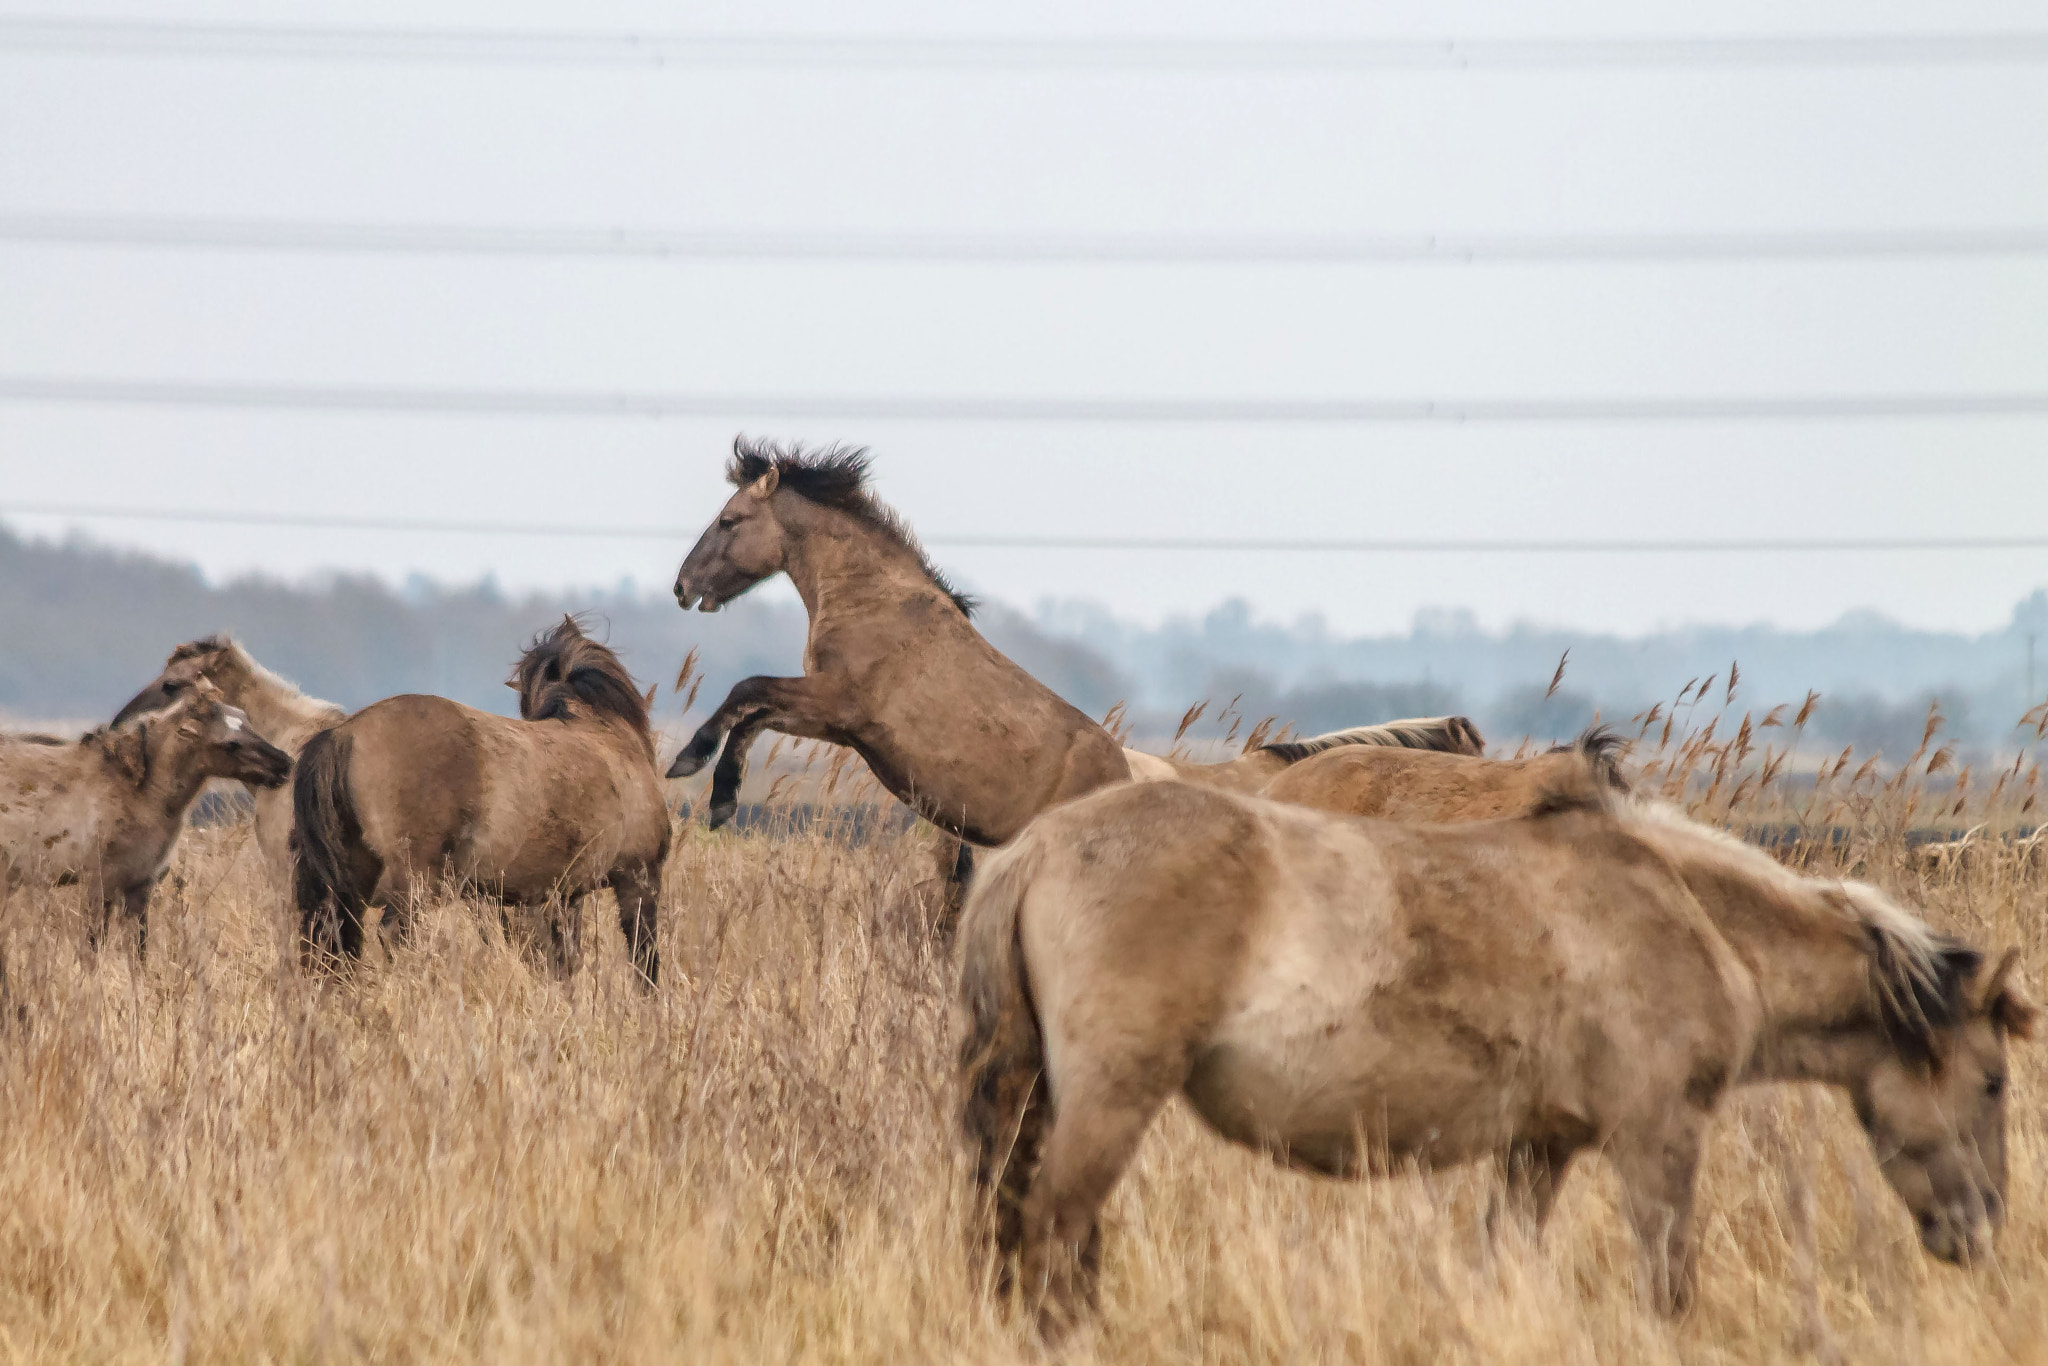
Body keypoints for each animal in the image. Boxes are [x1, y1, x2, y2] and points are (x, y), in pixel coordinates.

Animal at [1, 683, 291, 954]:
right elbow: (92, 949)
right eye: (230, 744)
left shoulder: (140, 888)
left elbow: (138, 953)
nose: (284, 764)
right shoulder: (99, 884)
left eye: (247, 722)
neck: (137, 792)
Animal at [291, 618, 669, 985]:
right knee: (393, 935)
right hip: (413, 882)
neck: (609, 735)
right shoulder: (639, 879)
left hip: (344, 893)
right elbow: (645, 959)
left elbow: (564, 962)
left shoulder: (565, 894)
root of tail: (343, 735)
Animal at [665, 439, 1483, 848]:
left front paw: (694, 769)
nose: (680, 587)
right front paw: (718, 794)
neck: (879, 603)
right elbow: (754, 713)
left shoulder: (839, 705)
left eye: (732, 520)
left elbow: (743, 694)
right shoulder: (833, 720)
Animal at [957, 776, 2034, 1335]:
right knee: (1051, 1233)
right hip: (1108, 1102)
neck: (1689, 913)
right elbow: (1667, 1287)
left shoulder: (1538, 1148)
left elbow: (1498, 1264)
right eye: (1991, 1082)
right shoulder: (1656, 1137)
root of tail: (1039, 845)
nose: (1981, 1229)